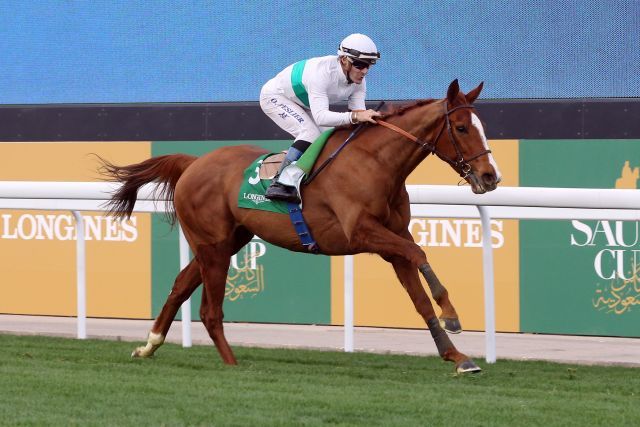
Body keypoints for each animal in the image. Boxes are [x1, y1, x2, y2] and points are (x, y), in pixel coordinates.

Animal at [101, 80, 500, 374]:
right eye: (461, 127)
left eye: (482, 128)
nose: (490, 177)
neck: (376, 163)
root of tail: (194, 162)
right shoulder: (362, 232)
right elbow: (419, 253)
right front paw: (452, 315)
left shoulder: (393, 242)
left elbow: (418, 296)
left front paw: (457, 356)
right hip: (213, 245)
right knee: (210, 311)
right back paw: (232, 364)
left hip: (226, 242)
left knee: (181, 284)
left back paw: (149, 345)